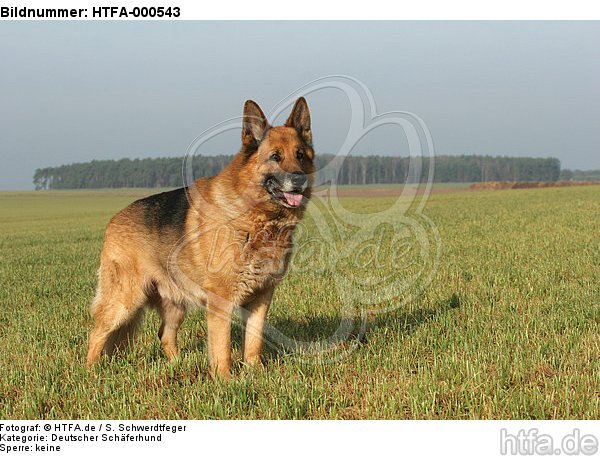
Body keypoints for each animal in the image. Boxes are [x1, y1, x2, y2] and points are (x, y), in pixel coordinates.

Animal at [88, 98, 318, 380]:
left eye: (300, 155)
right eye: (275, 156)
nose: (299, 180)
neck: (257, 219)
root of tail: (114, 220)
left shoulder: (261, 299)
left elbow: (254, 343)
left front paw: (254, 373)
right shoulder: (221, 302)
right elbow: (222, 349)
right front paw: (226, 381)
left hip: (174, 306)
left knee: (165, 335)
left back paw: (176, 366)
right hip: (124, 301)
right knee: (96, 334)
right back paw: (90, 373)